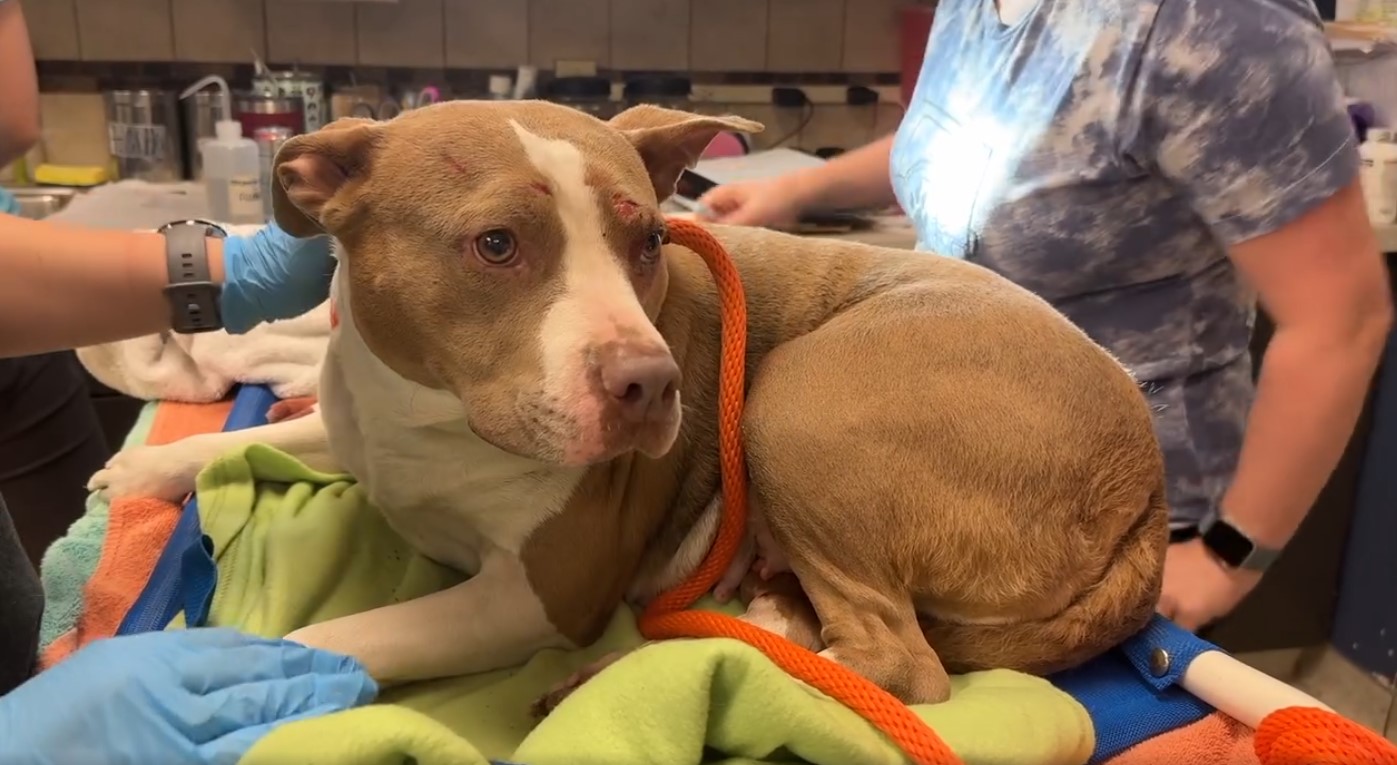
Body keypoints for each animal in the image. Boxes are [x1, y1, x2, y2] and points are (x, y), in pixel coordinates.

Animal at [87, 99, 1173, 706]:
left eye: (649, 238)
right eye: (495, 245)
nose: (653, 384)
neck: (431, 417)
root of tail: (1149, 495)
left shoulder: (531, 596)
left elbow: (336, 636)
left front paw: (206, 677)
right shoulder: (364, 431)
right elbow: (267, 439)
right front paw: (149, 462)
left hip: (800, 401)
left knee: (897, 665)